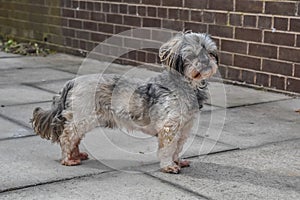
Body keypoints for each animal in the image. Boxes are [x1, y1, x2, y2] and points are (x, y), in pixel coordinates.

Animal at [31, 31, 218, 173]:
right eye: (192, 55)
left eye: (209, 53)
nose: (206, 62)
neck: (187, 84)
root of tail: (74, 81)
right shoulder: (169, 128)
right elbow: (168, 149)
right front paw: (169, 166)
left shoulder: (184, 128)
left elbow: (177, 148)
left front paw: (178, 161)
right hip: (83, 117)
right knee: (67, 135)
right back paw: (68, 159)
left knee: (74, 137)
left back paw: (76, 155)